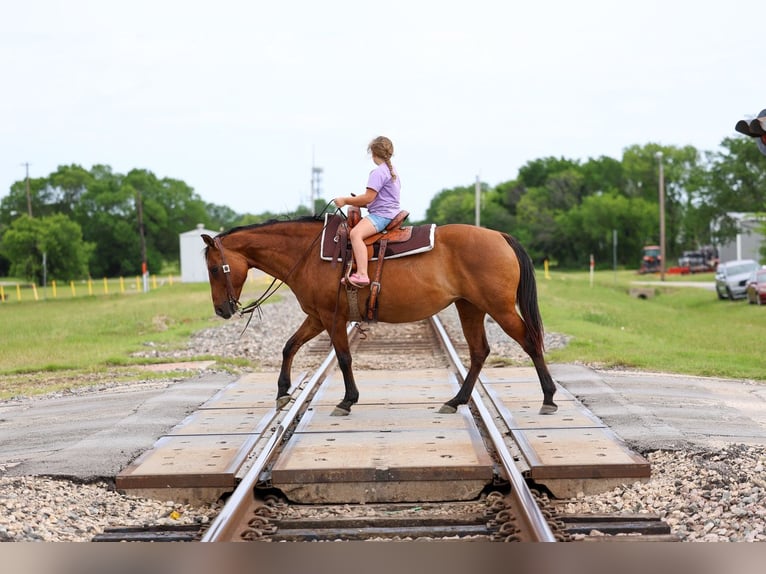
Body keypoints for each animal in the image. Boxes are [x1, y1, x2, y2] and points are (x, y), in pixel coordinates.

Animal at [201, 215, 558, 417]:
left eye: (214, 269)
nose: (221, 309)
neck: (309, 253)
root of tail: (500, 236)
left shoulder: (332, 317)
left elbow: (343, 357)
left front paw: (347, 400)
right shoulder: (316, 317)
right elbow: (289, 346)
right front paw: (281, 393)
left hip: (498, 308)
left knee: (530, 341)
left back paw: (548, 397)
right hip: (470, 306)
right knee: (479, 351)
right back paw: (456, 400)